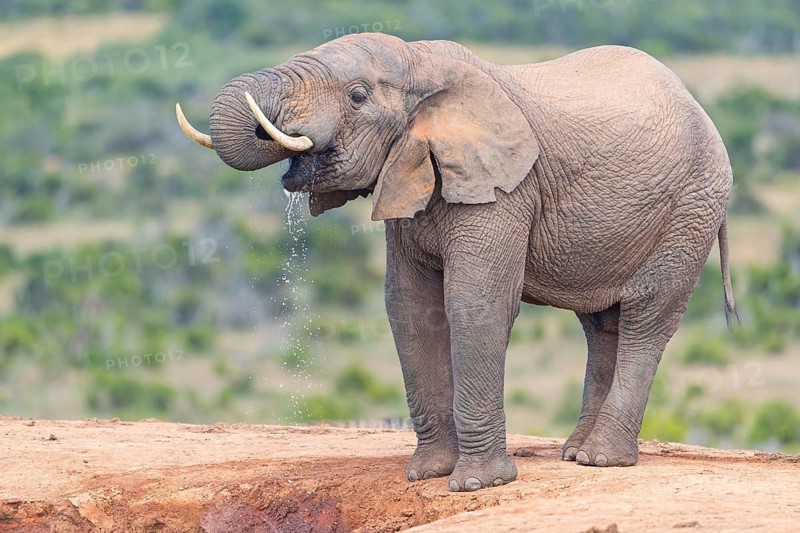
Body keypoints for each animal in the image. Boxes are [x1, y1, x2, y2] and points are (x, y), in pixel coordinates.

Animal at [176, 33, 735, 492]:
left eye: (357, 95)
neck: (423, 64)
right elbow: (410, 308)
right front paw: (428, 474)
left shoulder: (505, 188)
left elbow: (476, 304)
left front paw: (476, 485)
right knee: (602, 325)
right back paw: (575, 454)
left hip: (691, 209)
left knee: (647, 317)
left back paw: (602, 460)